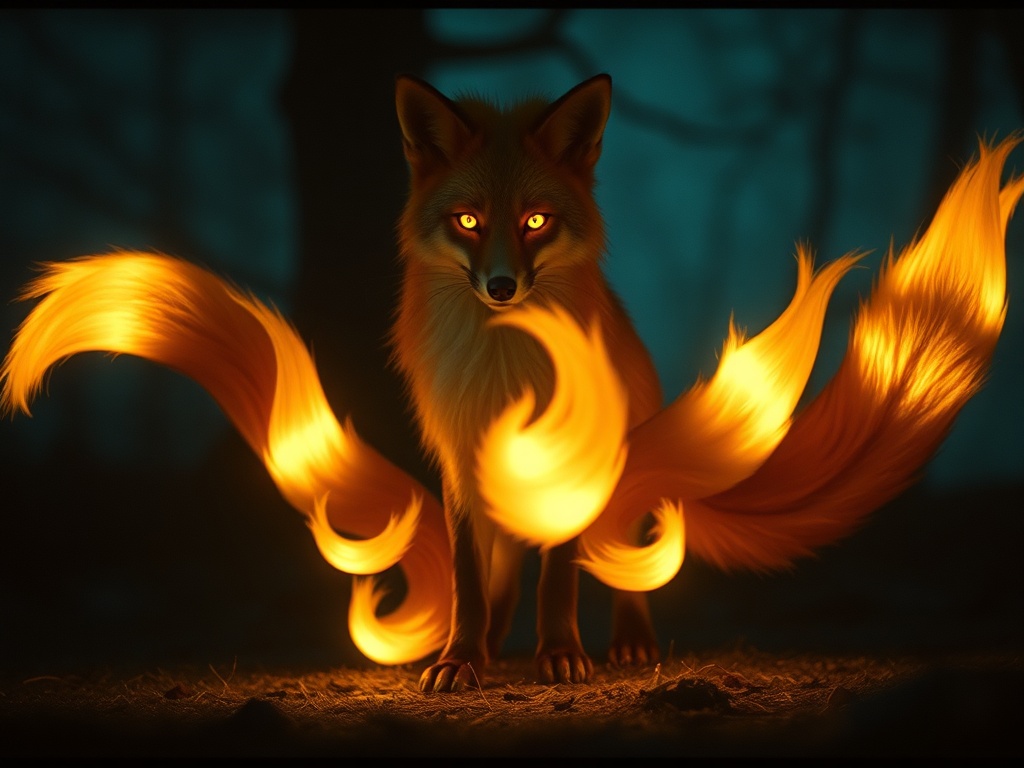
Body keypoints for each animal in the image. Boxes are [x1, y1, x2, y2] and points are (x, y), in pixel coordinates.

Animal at [1, 74, 1020, 695]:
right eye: (465, 220)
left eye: (534, 221)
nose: (499, 287)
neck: (506, 369)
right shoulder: (458, 458)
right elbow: (464, 574)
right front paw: (464, 660)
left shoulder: (572, 469)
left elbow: (563, 576)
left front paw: (560, 656)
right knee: (494, 574)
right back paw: (490, 638)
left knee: (611, 564)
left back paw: (627, 642)